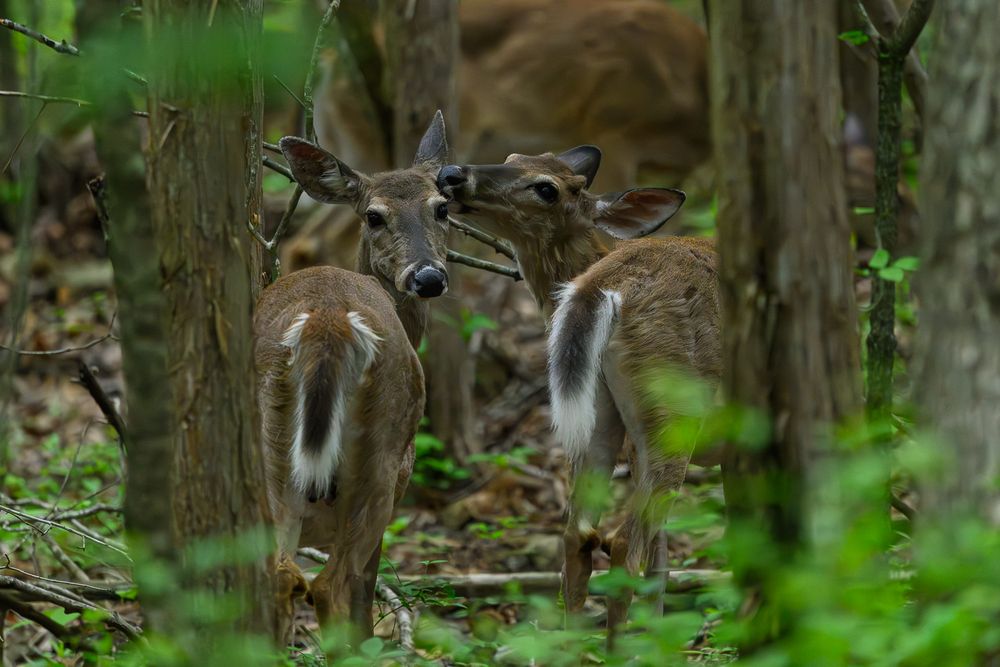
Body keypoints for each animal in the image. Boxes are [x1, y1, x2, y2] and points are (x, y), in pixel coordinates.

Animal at [257, 112, 452, 645]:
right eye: (374, 216)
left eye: (442, 208)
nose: (429, 277)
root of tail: (327, 324)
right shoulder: (401, 474)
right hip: (381, 457)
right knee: (332, 587)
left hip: (268, 449)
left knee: (280, 576)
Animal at [437, 147, 720, 644]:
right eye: (511, 157)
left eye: (546, 187)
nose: (452, 173)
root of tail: (599, 285)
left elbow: (663, 562)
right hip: (672, 409)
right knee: (624, 542)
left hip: (605, 414)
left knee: (579, 535)